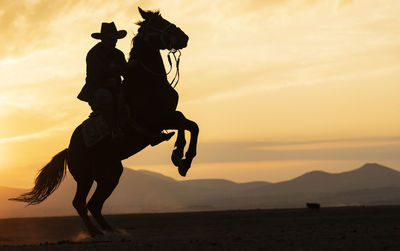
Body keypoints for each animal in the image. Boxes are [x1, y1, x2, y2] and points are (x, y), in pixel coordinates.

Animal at [11, 7, 199, 235]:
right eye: (157, 23)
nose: (183, 37)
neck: (147, 82)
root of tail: (68, 149)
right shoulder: (157, 120)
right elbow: (187, 125)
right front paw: (181, 157)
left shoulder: (169, 115)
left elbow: (189, 124)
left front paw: (181, 158)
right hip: (85, 177)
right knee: (80, 202)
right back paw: (94, 232)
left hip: (110, 174)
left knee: (94, 204)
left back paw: (110, 230)